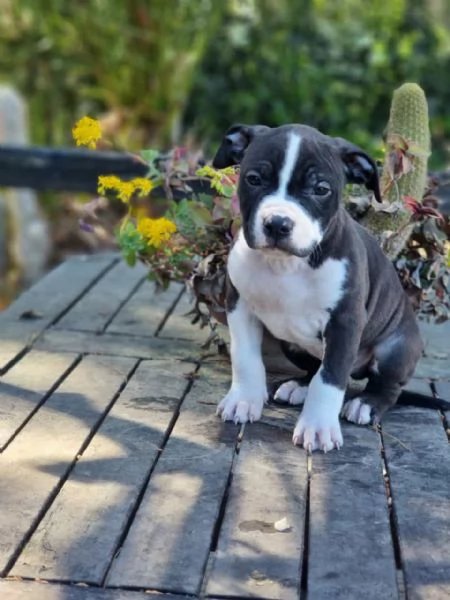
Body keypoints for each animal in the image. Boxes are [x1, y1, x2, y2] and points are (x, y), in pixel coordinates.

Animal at [213, 123, 424, 450]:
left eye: (321, 189)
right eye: (254, 179)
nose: (278, 223)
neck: (286, 265)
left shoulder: (345, 323)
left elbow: (330, 379)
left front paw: (318, 426)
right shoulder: (239, 305)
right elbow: (246, 358)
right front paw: (244, 400)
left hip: (395, 348)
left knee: (387, 386)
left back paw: (367, 403)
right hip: (292, 345)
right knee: (312, 368)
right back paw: (297, 386)